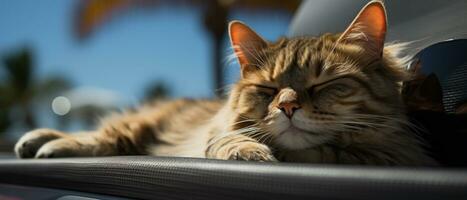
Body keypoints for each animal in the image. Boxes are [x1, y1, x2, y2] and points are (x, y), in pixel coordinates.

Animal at [15, 1, 438, 166]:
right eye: (267, 90)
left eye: (323, 85)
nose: (287, 107)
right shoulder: (216, 131)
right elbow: (230, 140)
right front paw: (251, 152)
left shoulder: (391, 155)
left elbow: (327, 151)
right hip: (139, 125)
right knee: (101, 135)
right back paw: (39, 141)